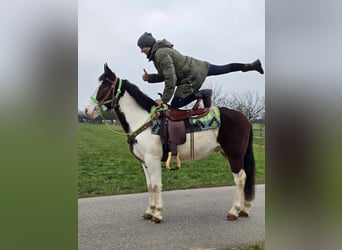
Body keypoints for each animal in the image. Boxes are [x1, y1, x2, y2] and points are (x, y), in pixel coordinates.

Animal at [85, 63, 256, 224]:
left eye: (104, 86)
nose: (87, 110)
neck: (144, 120)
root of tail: (244, 118)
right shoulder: (144, 163)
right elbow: (149, 186)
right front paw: (149, 212)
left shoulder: (153, 160)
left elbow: (156, 186)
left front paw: (157, 215)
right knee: (244, 177)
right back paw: (244, 209)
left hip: (234, 155)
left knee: (240, 179)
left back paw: (234, 211)